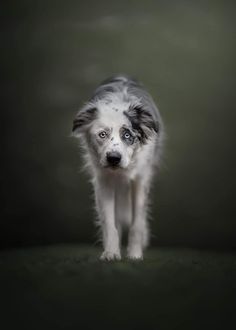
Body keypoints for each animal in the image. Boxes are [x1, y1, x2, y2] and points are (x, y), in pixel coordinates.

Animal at [72, 75, 164, 260]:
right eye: (102, 134)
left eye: (127, 135)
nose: (114, 158)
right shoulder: (104, 181)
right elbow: (109, 223)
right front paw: (111, 253)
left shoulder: (140, 180)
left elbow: (137, 222)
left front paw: (135, 254)